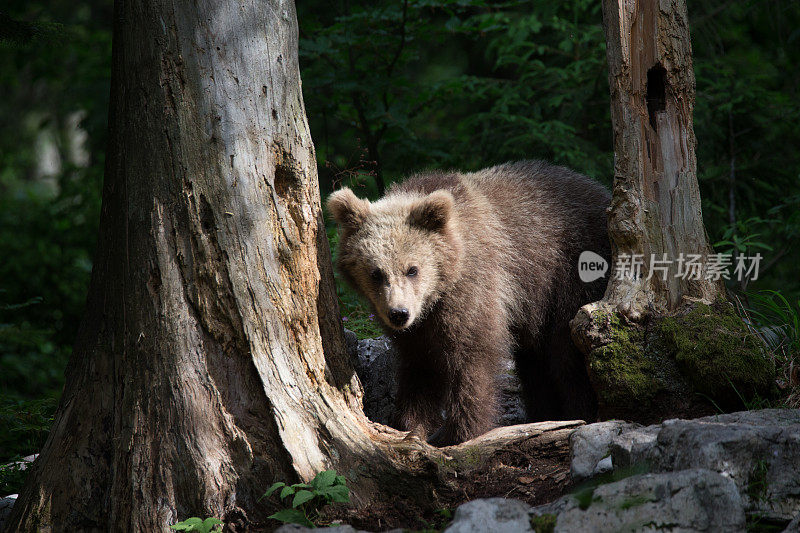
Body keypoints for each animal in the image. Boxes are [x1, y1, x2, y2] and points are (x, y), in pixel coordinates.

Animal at [328, 159, 608, 444]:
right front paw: (410, 426)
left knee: (567, 355)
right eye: (376, 273)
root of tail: (601, 191)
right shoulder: (419, 329)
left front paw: (462, 432)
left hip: (571, 275)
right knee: (535, 362)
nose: (399, 313)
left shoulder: (476, 289)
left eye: (412, 269)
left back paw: (580, 412)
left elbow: (472, 361)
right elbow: (419, 369)